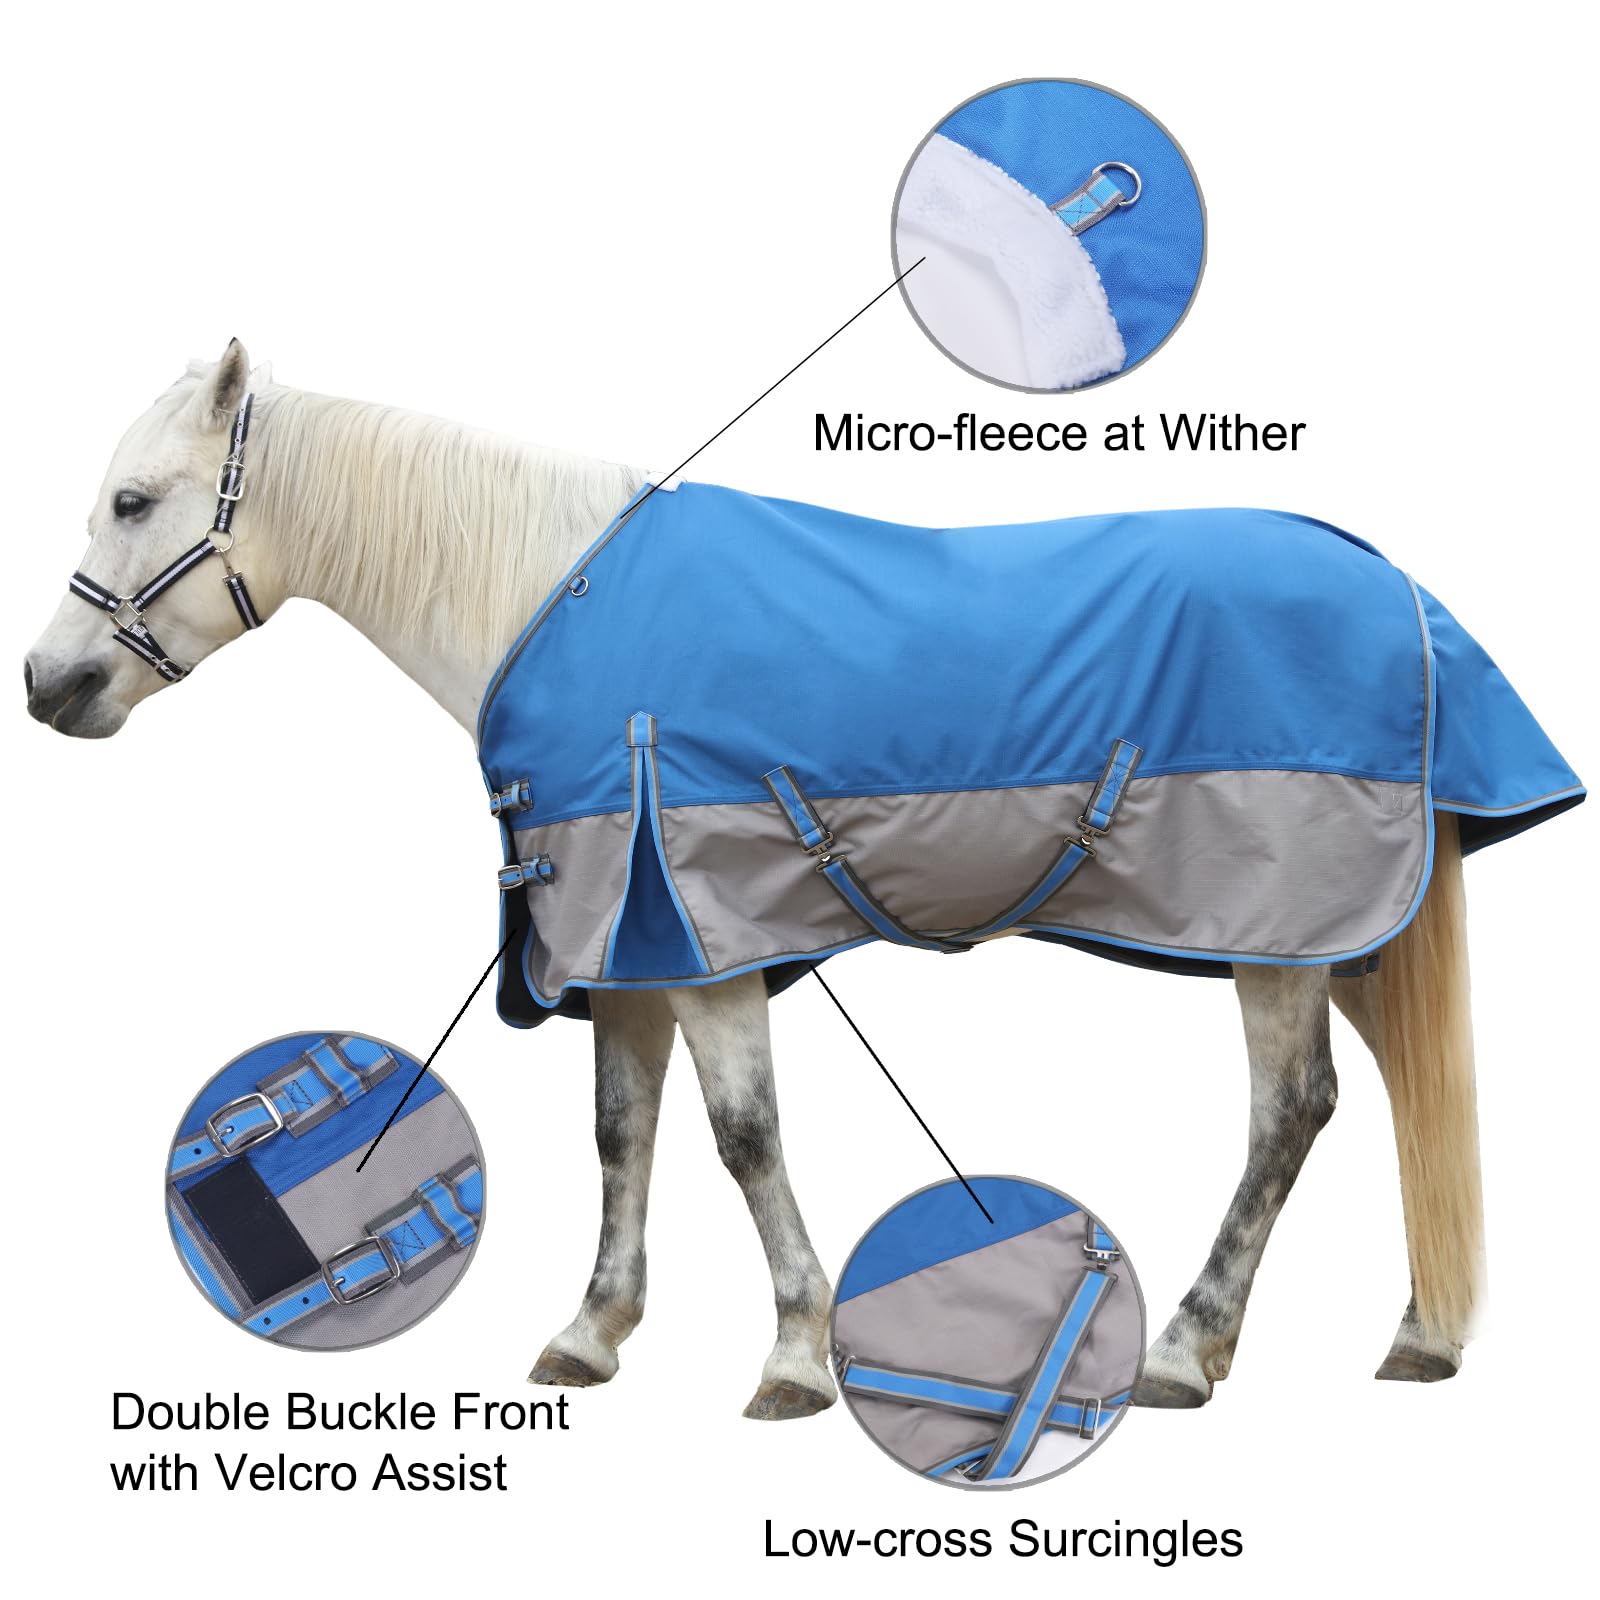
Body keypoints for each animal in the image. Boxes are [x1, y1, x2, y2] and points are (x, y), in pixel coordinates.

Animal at [25, 342, 1544, 1420]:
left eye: (134, 501)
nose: (49, 685)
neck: (548, 603)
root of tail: (1397, 589)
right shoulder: (623, 947)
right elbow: (621, 1137)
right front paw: (590, 1333)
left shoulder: (704, 940)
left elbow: (744, 1136)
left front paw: (798, 1357)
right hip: (1342, 929)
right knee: (1400, 1089)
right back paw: (1417, 1334)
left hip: (1281, 934)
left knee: (1291, 1114)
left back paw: (1182, 1347)